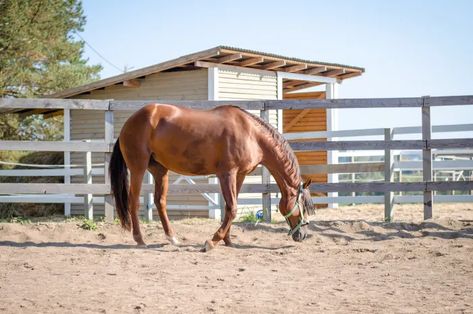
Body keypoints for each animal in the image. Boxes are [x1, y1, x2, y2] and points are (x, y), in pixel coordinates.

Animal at [109, 104, 314, 251]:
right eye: (303, 206)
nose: (303, 235)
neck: (251, 134)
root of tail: (130, 122)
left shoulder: (239, 175)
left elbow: (232, 207)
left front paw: (228, 240)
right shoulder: (227, 174)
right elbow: (232, 208)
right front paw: (213, 241)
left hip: (160, 170)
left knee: (160, 202)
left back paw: (172, 238)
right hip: (138, 168)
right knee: (133, 202)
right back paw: (140, 239)